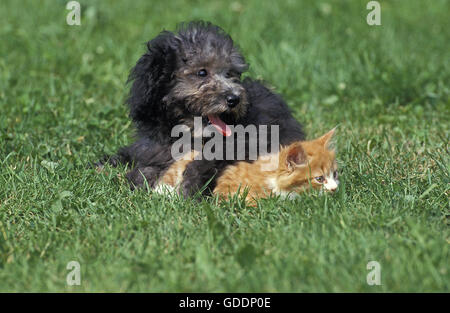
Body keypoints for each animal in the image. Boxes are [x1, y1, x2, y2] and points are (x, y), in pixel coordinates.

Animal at [99, 21, 306, 195]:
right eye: (202, 72)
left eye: (230, 74)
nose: (234, 99)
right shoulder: (149, 147)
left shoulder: (246, 143)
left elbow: (206, 162)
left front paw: (188, 187)